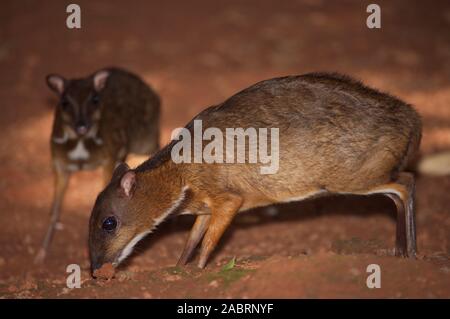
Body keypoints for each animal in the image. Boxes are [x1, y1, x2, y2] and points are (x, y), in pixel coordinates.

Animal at [36, 67, 161, 262]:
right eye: (64, 102)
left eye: (95, 99)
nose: (82, 126)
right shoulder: (59, 164)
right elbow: (54, 210)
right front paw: (41, 252)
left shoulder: (109, 157)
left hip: (146, 140)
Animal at [89, 72, 422, 272]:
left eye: (109, 223)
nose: (94, 269)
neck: (181, 173)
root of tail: (411, 115)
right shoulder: (206, 207)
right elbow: (192, 239)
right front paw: (178, 268)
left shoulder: (229, 199)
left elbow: (208, 243)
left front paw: (198, 272)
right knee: (398, 190)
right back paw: (399, 251)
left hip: (356, 178)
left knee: (406, 183)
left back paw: (410, 253)